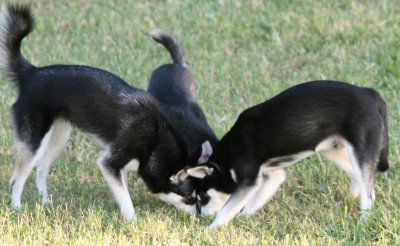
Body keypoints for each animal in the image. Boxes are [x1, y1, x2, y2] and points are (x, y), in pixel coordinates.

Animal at [0, 3, 200, 219]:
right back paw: (17, 206)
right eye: (189, 197)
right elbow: (125, 197)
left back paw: (45, 202)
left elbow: (122, 190)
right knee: (17, 179)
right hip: (34, 141)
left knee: (41, 169)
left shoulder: (118, 167)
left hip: (58, 137)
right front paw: (131, 219)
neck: (155, 138)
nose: (200, 216)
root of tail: (31, 74)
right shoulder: (110, 162)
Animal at [171, 80, 388, 229]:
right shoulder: (271, 176)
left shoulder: (249, 181)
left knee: (368, 192)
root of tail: (370, 93)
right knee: (362, 182)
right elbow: (253, 202)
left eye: (203, 196)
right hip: (333, 150)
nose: (201, 217)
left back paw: (365, 218)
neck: (225, 160)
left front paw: (212, 228)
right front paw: (243, 218)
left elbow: (228, 208)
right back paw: (351, 199)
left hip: (359, 151)